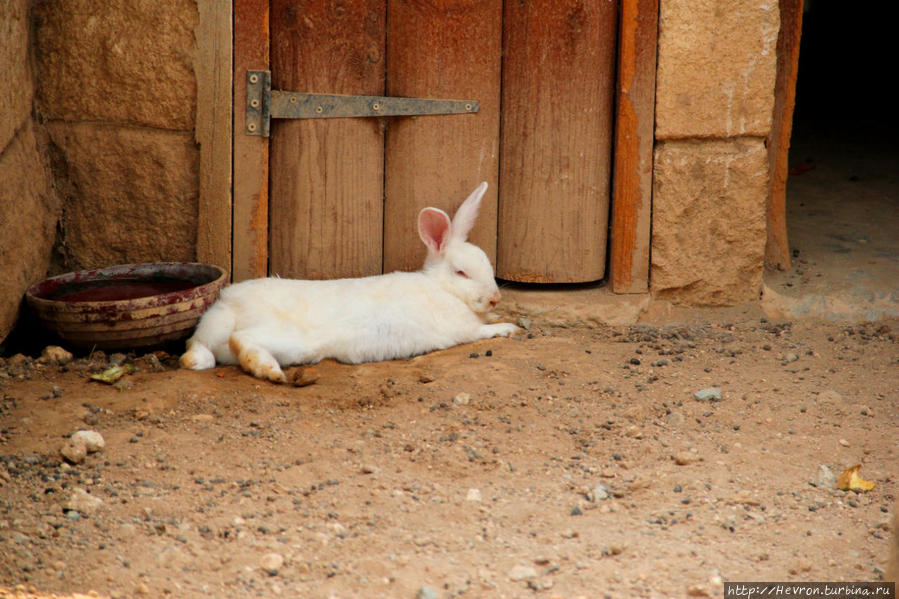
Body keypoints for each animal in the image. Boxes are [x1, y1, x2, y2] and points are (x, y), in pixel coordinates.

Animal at [179, 180, 516, 382]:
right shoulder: (464, 329)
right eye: (461, 272)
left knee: (199, 349)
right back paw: (269, 370)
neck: (443, 289)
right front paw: (507, 328)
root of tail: (228, 307)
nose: (495, 298)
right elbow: (482, 331)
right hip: (292, 341)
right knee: (242, 340)